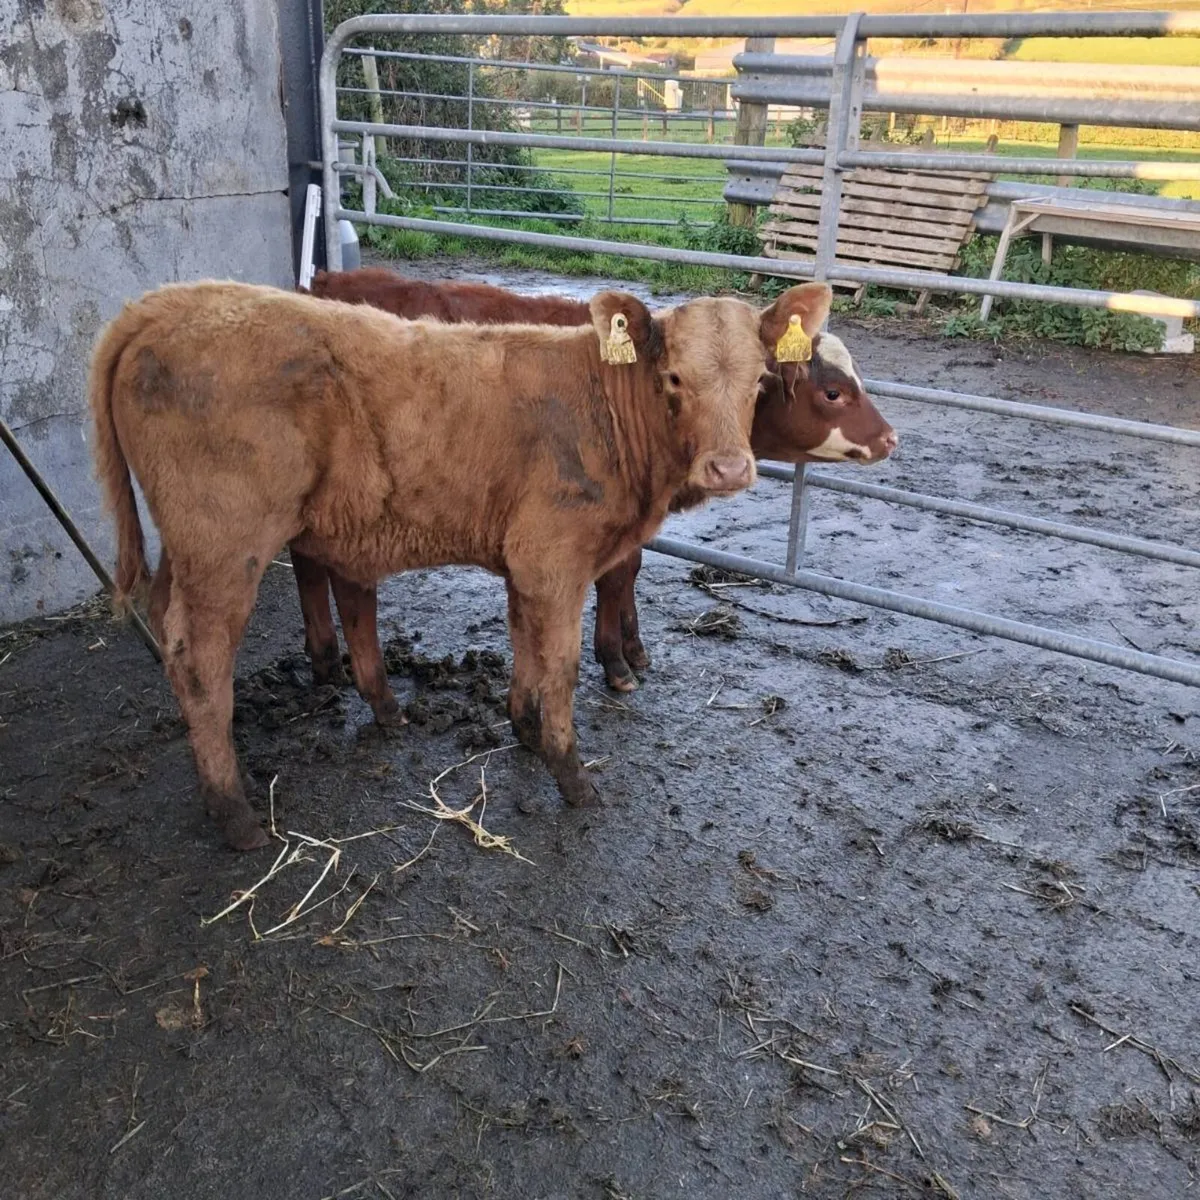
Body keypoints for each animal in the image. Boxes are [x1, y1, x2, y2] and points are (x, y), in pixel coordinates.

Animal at [90, 278, 826, 850]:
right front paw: (572, 776)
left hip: (185, 549)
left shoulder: (526, 559)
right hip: (225, 546)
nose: (729, 468)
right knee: (201, 660)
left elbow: (523, 642)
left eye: (761, 380)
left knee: (170, 629)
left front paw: (524, 728)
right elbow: (560, 665)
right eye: (674, 377)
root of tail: (162, 303)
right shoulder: (555, 556)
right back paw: (234, 813)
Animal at [299, 269, 898, 695]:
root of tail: (326, 282)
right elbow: (618, 573)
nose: (890, 438)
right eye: (834, 393)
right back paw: (325, 657)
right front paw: (616, 659)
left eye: (757, 380)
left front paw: (632, 647)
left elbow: (629, 568)